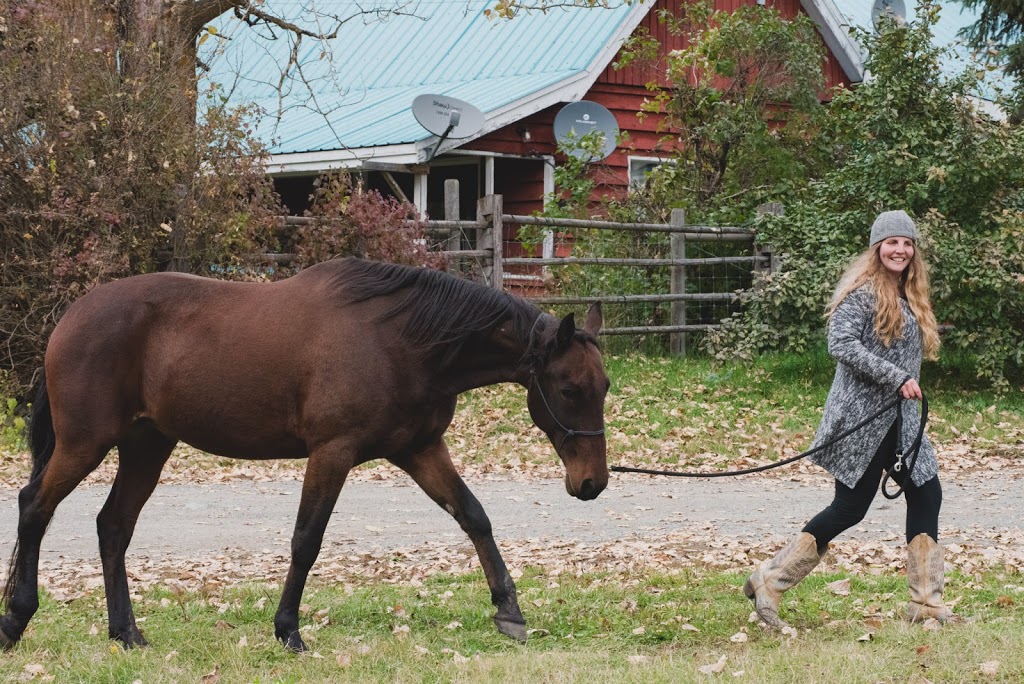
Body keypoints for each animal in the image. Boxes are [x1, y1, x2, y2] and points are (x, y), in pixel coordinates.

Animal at [0, 258, 606, 651]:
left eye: (604, 386)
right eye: (570, 389)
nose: (592, 483)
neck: (402, 341)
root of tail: (71, 317)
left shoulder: (419, 449)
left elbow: (475, 517)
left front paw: (510, 611)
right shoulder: (332, 452)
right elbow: (306, 540)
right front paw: (288, 629)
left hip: (146, 445)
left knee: (113, 527)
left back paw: (126, 633)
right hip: (85, 443)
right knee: (34, 508)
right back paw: (16, 621)